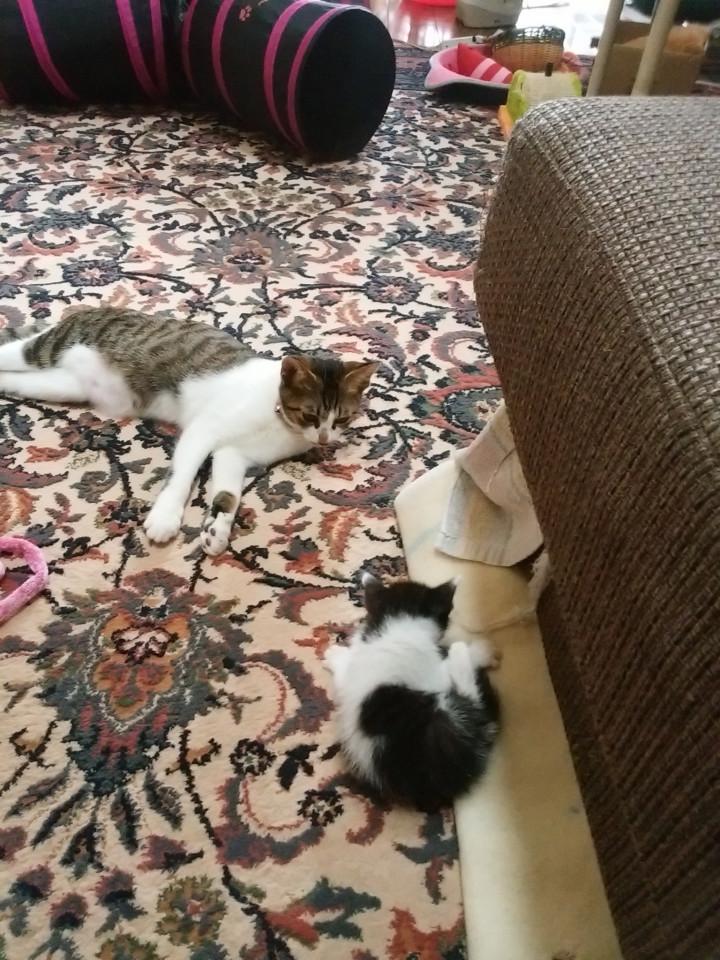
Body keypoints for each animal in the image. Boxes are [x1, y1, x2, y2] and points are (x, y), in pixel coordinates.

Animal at [0, 307, 377, 555]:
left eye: (341, 419)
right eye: (311, 414)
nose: (325, 438)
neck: (276, 418)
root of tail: (88, 309)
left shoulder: (234, 454)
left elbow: (228, 494)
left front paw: (216, 529)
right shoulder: (202, 430)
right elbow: (182, 477)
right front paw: (165, 518)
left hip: (62, 385)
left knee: (17, 379)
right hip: (47, 349)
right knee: (15, 350)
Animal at [325, 572, 500, 812]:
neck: (398, 630)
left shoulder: (352, 680)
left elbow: (344, 673)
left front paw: (333, 654)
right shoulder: (432, 673)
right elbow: (446, 669)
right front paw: (481, 650)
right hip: (444, 726)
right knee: (472, 701)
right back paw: (459, 652)